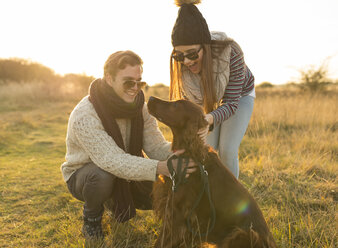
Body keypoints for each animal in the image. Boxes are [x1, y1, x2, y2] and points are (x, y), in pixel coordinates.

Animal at [148, 97, 278, 248]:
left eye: (176, 105)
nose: (150, 98)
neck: (191, 153)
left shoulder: (177, 213)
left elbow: (161, 241)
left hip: (244, 234)